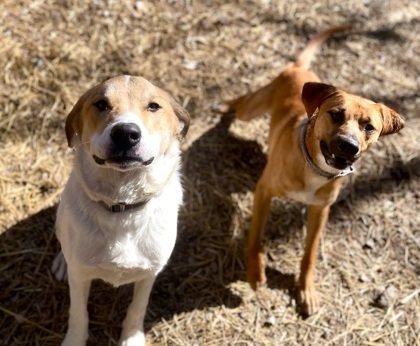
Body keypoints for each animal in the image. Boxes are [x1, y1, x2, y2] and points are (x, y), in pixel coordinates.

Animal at [52, 76, 189, 346]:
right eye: (101, 104)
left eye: (154, 106)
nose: (126, 133)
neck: (122, 206)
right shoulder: (80, 276)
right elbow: (78, 313)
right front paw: (75, 340)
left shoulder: (150, 273)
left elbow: (137, 308)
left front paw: (131, 338)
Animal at [213, 25, 404, 314]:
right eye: (336, 114)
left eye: (369, 127)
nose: (348, 146)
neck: (314, 168)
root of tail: (299, 69)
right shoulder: (264, 191)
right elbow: (256, 235)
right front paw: (255, 273)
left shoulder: (320, 210)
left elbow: (310, 254)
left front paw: (307, 290)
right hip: (252, 109)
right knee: (243, 102)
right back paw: (224, 104)